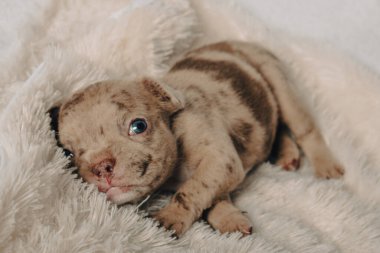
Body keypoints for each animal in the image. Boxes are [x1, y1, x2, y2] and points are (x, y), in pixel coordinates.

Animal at [57, 41, 344, 237]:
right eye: (69, 154)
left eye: (138, 126)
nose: (101, 166)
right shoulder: (224, 167)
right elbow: (213, 194)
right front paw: (230, 218)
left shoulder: (219, 160)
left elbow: (192, 189)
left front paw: (169, 217)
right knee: (277, 125)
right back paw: (286, 154)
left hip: (277, 79)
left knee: (301, 126)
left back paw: (326, 166)